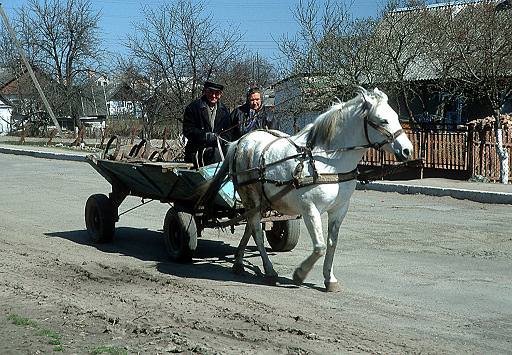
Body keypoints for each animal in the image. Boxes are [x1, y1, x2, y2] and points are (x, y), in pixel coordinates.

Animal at [198, 87, 414, 294]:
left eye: (396, 116)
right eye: (383, 120)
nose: (408, 150)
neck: (327, 161)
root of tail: (241, 141)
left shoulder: (340, 209)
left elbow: (332, 244)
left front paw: (330, 279)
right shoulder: (310, 209)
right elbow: (319, 247)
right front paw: (300, 274)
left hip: (260, 201)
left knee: (250, 225)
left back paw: (238, 262)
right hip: (250, 196)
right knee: (257, 231)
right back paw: (269, 271)